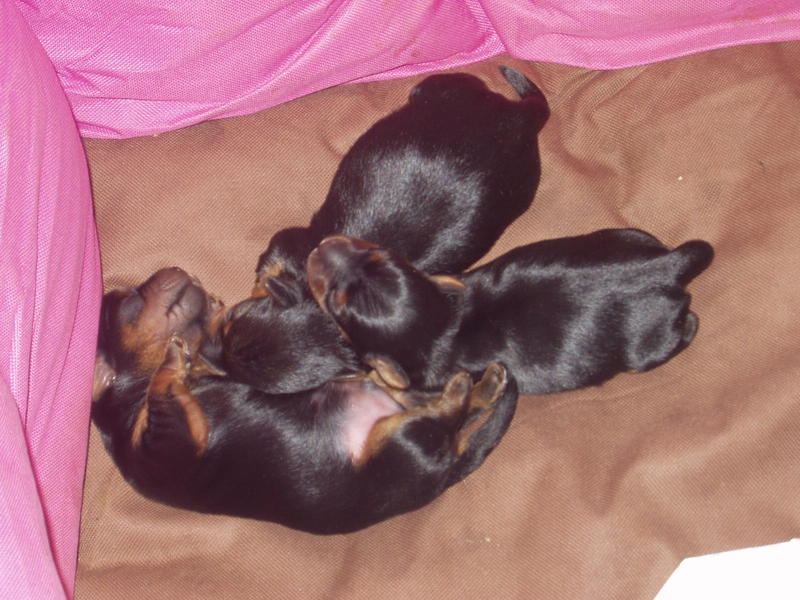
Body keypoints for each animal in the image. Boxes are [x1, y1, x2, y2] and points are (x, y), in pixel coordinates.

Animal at [93, 268, 517, 535]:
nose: (176, 268)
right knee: (448, 414)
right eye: (130, 300)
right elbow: (163, 386)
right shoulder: (166, 445)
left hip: (396, 410)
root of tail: (446, 468)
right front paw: (172, 358)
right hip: (401, 442)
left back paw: (485, 384)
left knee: (444, 408)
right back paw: (465, 388)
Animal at [306, 229, 714, 395]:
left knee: (686, 328)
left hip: (650, 345)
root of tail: (665, 266)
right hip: (626, 235)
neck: (443, 324)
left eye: (335, 302)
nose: (321, 245)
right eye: (375, 251)